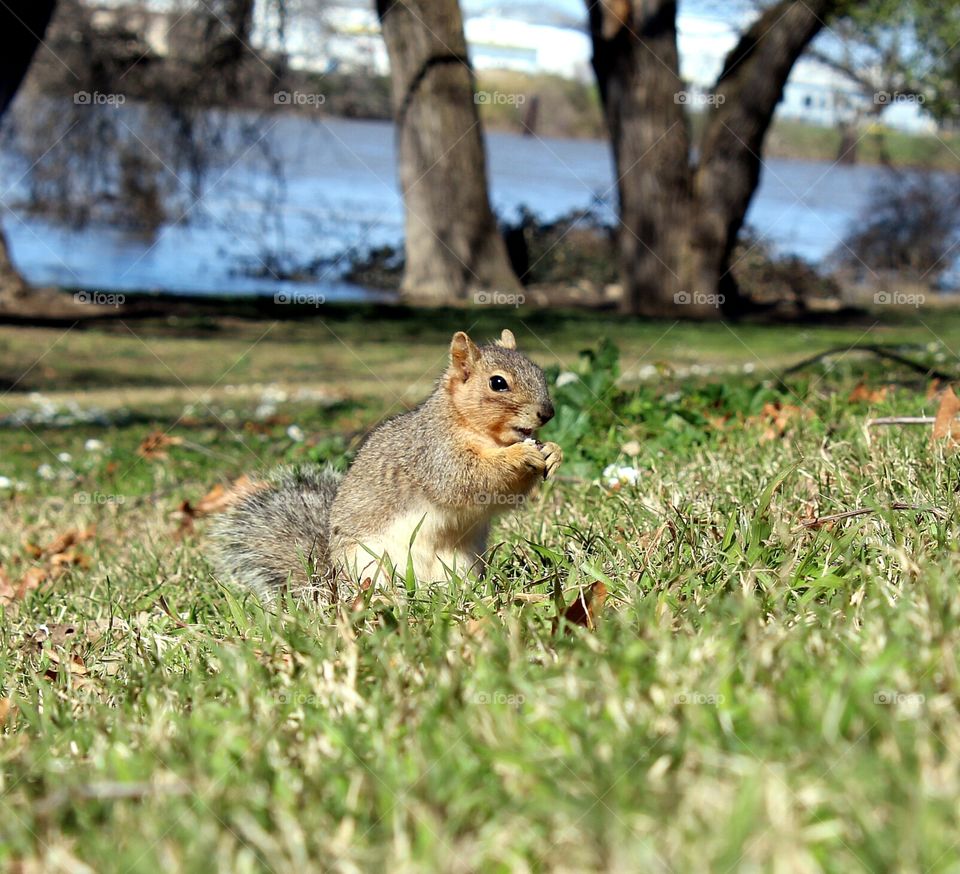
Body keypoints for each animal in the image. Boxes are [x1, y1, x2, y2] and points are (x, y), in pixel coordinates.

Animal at [212, 329, 562, 599]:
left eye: (539, 372)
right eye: (498, 383)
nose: (547, 414)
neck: (481, 433)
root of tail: (333, 582)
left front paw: (553, 451)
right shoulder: (435, 455)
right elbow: (466, 479)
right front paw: (520, 456)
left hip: (459, 564)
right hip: (371, 564)